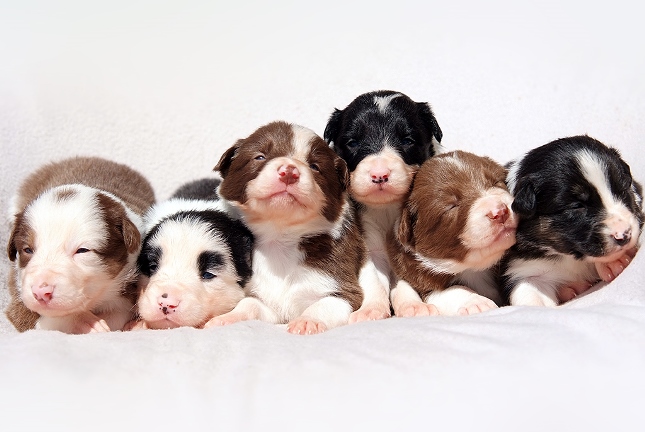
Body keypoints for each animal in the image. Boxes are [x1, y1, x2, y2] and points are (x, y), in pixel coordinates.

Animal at [6, 156, 155, 333]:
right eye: (28, 250)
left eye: (82, 250)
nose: (41, 292)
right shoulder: (19, 295)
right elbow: (49, 319)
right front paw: (86, 322)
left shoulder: (126, 295)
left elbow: (118, 315)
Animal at [209, 121, 367, 334]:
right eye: (260, 157)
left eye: (315, 167)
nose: (290, 172)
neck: (281, 237)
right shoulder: (266, 300)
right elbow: (249, 304)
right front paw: (227, 318)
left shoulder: (343, 288)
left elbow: (324, 304)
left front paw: (307, 321)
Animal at [324, 90, 443, 322]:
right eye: (353, 142)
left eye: (407, 140)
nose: (380, 175)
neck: (386, 209)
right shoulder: (367, 245)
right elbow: (373, 280)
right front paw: (371, 310)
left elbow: (404, 279)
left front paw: (413, 306)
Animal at [387, 151, 518, 316]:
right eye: (451, 206)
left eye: (496, 182)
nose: (499, 212)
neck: (473, 269)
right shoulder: (420, 278)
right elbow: (453, 290)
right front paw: (477, 302)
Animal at [503, 135, 643, 306]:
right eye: (577, 206)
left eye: (623, 191)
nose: (625, 235)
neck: (570, 258)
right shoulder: (524, 268)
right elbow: (531, 295)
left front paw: (614, 262)